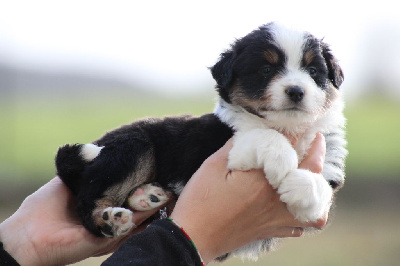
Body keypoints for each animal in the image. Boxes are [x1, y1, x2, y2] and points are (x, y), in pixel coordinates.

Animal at [55, 22, 346, 260]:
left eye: (313, 71)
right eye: (266, 69)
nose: (296, 91)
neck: (288, 127)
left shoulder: (329, 155)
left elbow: (324, 186)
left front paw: (304, 191)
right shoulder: (226, 149)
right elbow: (262, 135)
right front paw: (283, 164)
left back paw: (146, 196)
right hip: (134, 146)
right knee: (87, 198)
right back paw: (109, 220)